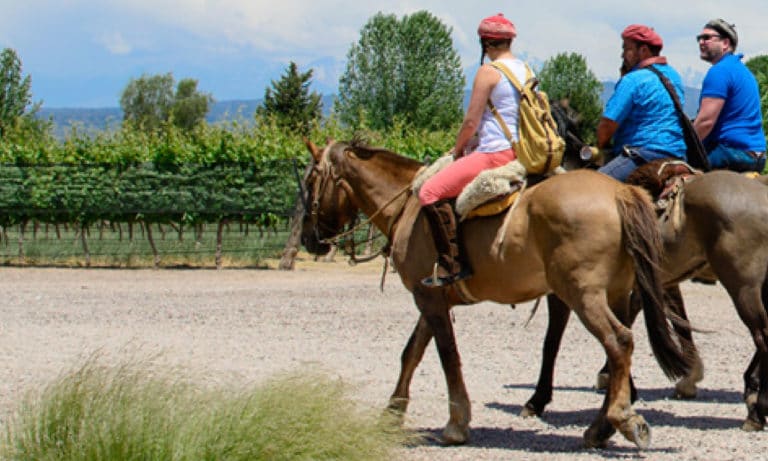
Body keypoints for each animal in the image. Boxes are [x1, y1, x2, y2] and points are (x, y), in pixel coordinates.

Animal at [298, 138, 688, 448]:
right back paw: (601, 427)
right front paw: (393, 412)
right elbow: (412, 353)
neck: (409, 206)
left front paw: (456, 424)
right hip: (615, 293)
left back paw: (621, 420)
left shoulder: (429, 300)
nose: (309, 239)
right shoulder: (431, 298)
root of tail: (619, 191)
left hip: (584, 295)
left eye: (310, 181)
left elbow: (447, 355)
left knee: (618, 341)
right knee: (619, 350)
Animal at [524, 162, 768, 432]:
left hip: (743, 286)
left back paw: (757, 410)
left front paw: (537, 400)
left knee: (762, 338)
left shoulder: (567, 291)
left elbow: (552, 342)